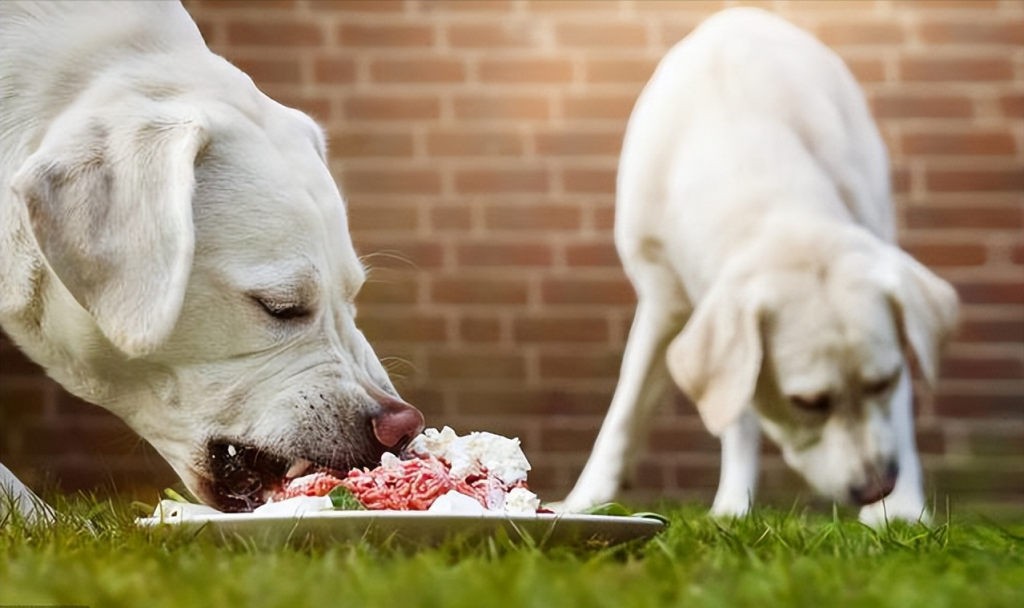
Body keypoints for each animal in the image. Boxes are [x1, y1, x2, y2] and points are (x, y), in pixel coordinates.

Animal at [561, 7, 958, 524]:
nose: (877, 488)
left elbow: (901, 409)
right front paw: (585, 500)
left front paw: (902, 510)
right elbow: (628, 409)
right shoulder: (663, 297)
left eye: (882, 381)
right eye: (807, 402)